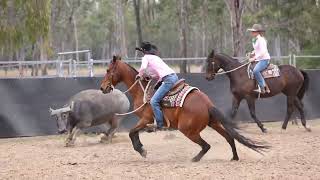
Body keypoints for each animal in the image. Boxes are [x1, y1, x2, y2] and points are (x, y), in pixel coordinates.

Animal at [100, 55, 268, 162]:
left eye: (108, 70)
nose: (103, 88)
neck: (141, 90)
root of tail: (208, 104)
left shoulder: (146, 118)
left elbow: (131, 132)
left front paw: (141, 150)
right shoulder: (144, 120)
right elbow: (134, 133)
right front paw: (141, 148)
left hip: (188, 130)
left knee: (206, 145)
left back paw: (195, 158)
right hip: (213, 123)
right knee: (230, 138)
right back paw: (234, 157)